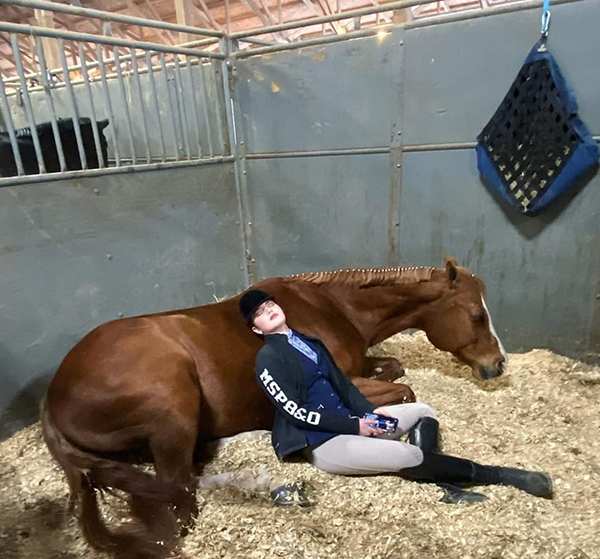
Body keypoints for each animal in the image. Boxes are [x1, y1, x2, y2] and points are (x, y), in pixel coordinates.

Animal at [41, 258, 506, 559]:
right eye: (476, 316)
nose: (498, 364)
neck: (330, 307)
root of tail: (53, 393)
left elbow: (396, 369)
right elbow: (403, 390)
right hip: (173, 408)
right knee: (179, 490)